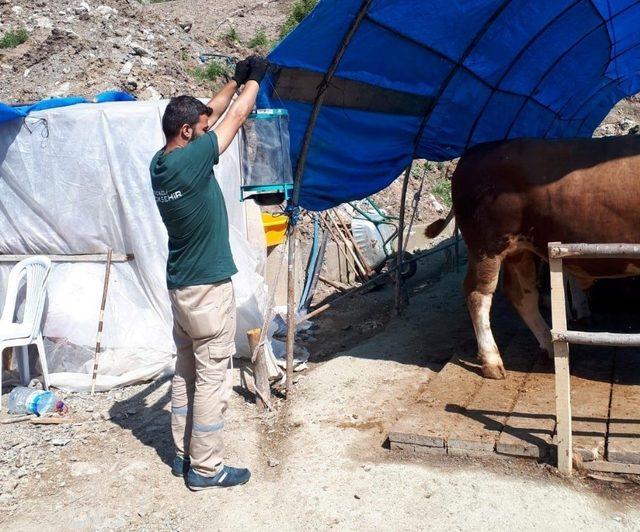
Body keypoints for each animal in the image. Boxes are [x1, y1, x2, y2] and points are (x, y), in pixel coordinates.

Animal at [424, 135, 640, 380]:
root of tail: (474, 151)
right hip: (487, 246)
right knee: (478, 294)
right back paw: (492, 362)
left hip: (520, 250)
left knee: (523, 295)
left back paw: (550, 346)